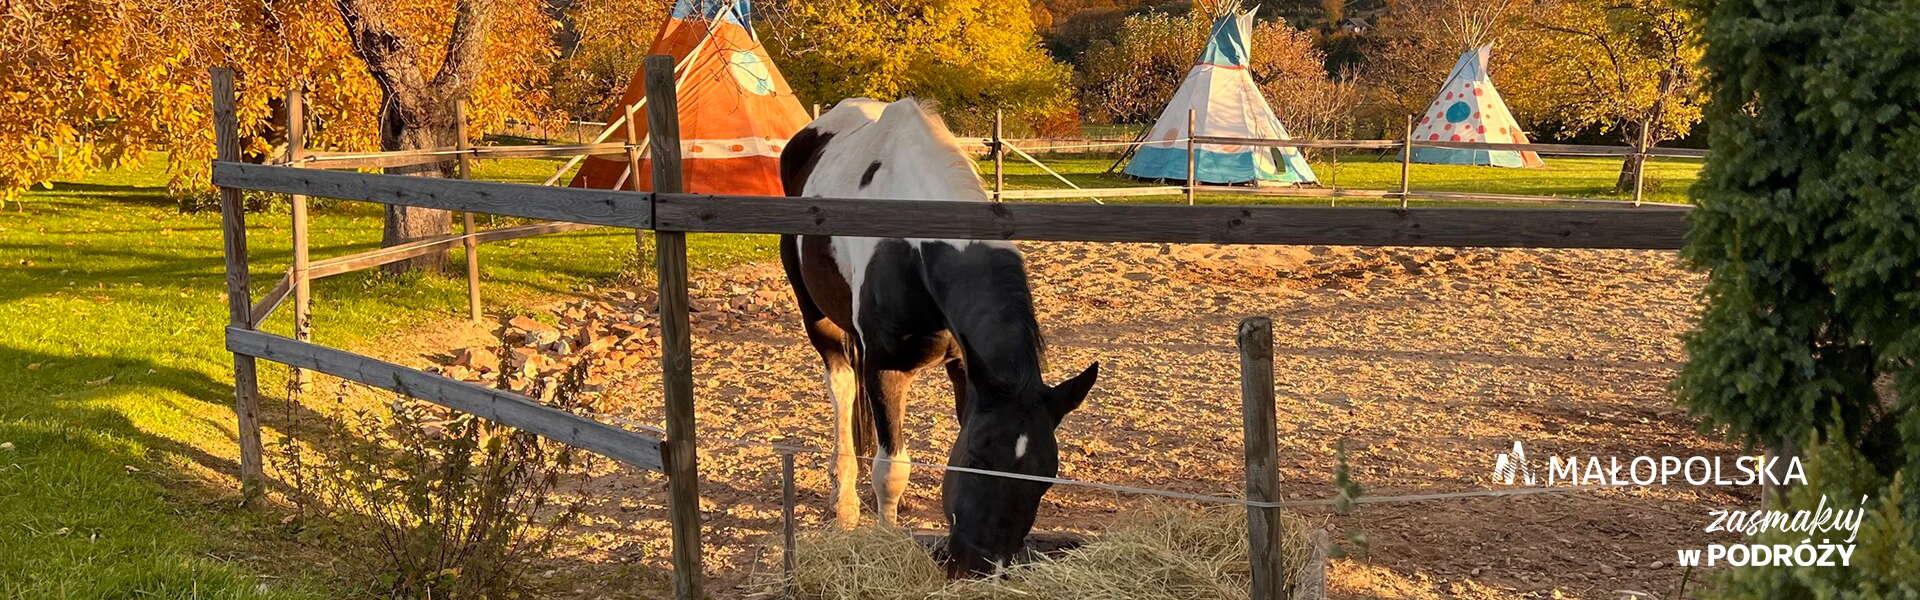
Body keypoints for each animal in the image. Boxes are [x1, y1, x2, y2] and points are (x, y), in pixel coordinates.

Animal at [775, 98, 1098, 576]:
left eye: (1045, 476)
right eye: (979, 458)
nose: (977, 563)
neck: (914, 245)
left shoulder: (965, 366)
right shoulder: (885, 366)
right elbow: (891, 469)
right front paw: (886, 540)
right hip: (817, 318)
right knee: (842, 387)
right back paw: (846, 504)